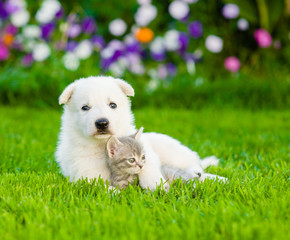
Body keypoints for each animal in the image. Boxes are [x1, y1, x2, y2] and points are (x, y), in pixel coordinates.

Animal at [55, 76, 225, 190]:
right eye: (85, 107)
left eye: (112, 105)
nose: (102, 123)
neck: (103, 145)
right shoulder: (85, 174)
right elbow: (100, 186)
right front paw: (116, 193)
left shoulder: (147, 154)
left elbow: (149, 168)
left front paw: (156, 186)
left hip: (173, 153)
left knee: (194, 168)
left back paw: (218, 178)